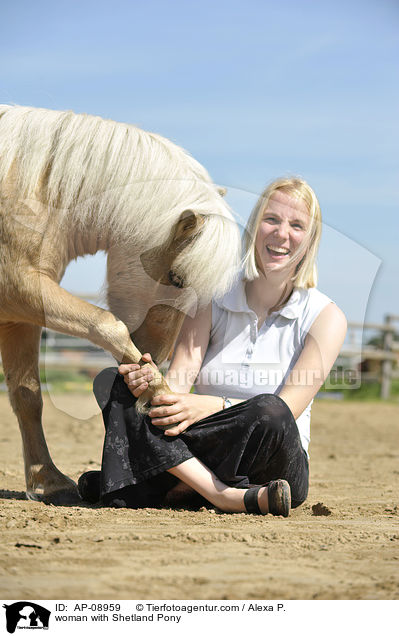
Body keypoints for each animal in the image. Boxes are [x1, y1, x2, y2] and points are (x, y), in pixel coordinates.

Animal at [0, 105, 241, 502]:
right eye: (176, 279)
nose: (156, 355)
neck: (28, 186)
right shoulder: (18, 288)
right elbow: (108, 325)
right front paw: (160, 399)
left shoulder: (21, 314)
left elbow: (28, 396)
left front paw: (47, 482)